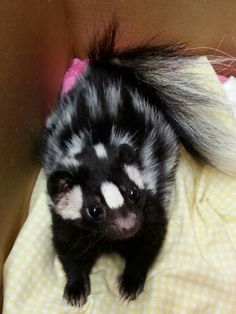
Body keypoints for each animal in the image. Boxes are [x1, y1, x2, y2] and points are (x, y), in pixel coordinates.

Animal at [41, 20, 236, 306]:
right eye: (93, 209)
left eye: (132, 192)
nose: (129, 225)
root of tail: (106, 75)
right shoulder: (66, 221)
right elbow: (68, 249)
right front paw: (76, 289)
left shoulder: (149, 202)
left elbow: (149, 239)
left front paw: (130, 283)